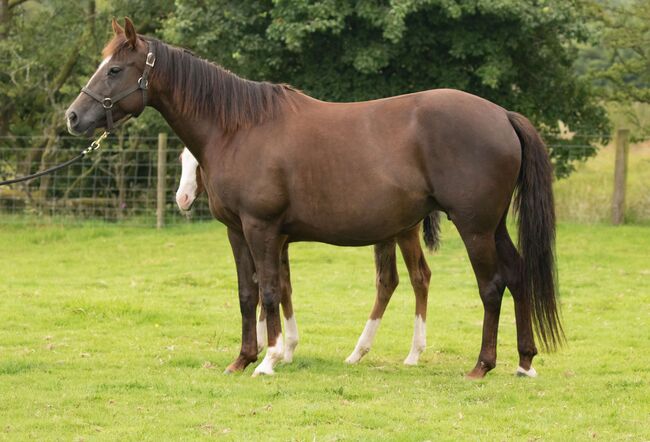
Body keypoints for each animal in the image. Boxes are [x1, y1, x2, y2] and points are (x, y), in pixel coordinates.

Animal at [176, 147, 440, 364]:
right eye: (181, 160)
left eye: (198, 165)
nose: (182, 199)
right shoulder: (279, 244)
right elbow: (276, 286)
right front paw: (275, 346)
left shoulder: (273, 240)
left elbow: (274, 287)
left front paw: (279, 348)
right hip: (387, 235)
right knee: (387, 281)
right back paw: (357, 353)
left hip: (406, 233)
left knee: (420, 277)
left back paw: (413, 353)